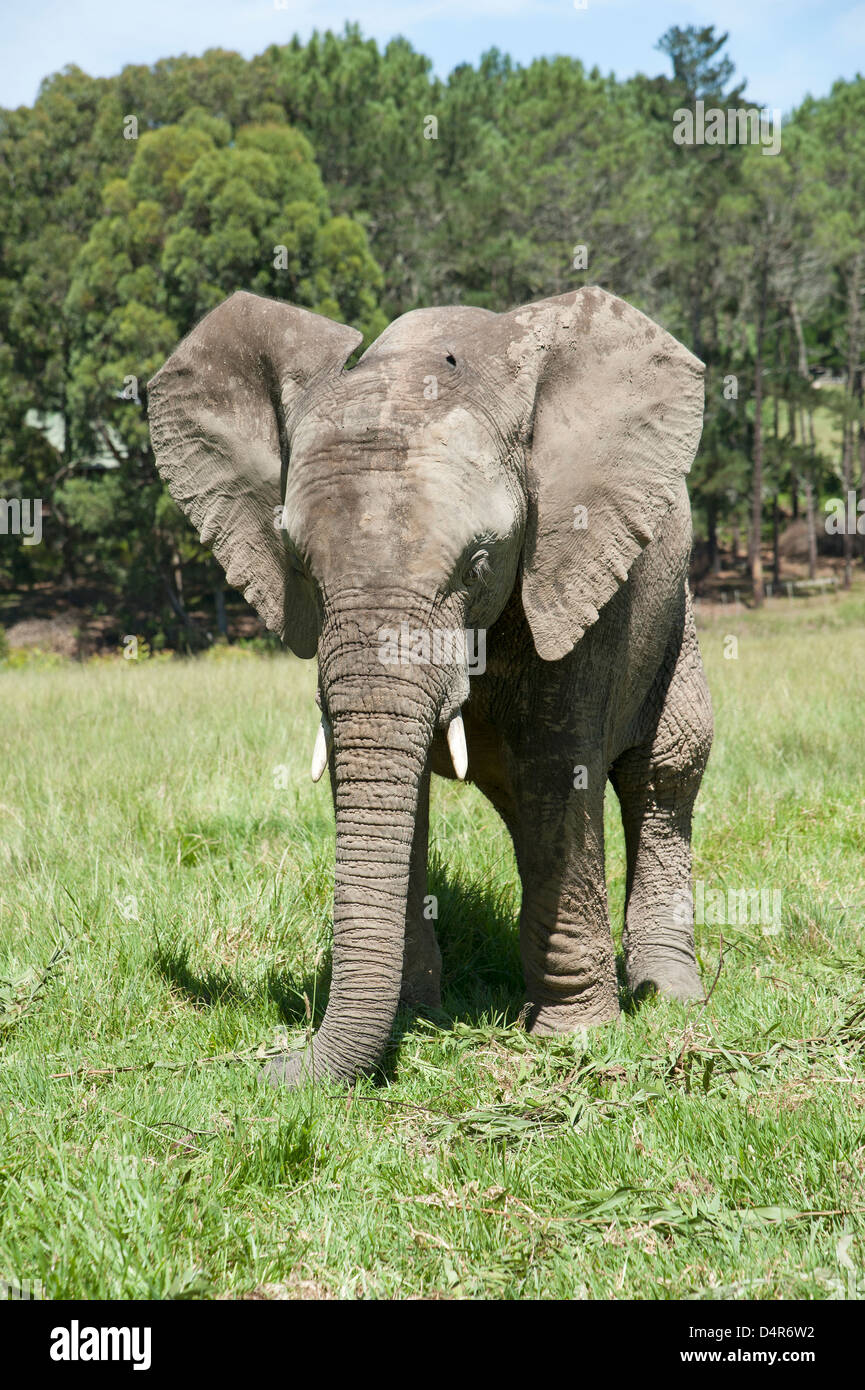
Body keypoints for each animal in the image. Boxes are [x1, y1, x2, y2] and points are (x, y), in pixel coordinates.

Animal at [147, 285, 713, 1089]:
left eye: (478, 564)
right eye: (299, 566)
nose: (266, 1070)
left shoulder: (571, 568)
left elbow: (556, 769)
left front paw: (574, 1037)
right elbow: (387, 783)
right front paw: (419, 1015)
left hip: (674, 613)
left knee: (662, 773)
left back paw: (665, 993)